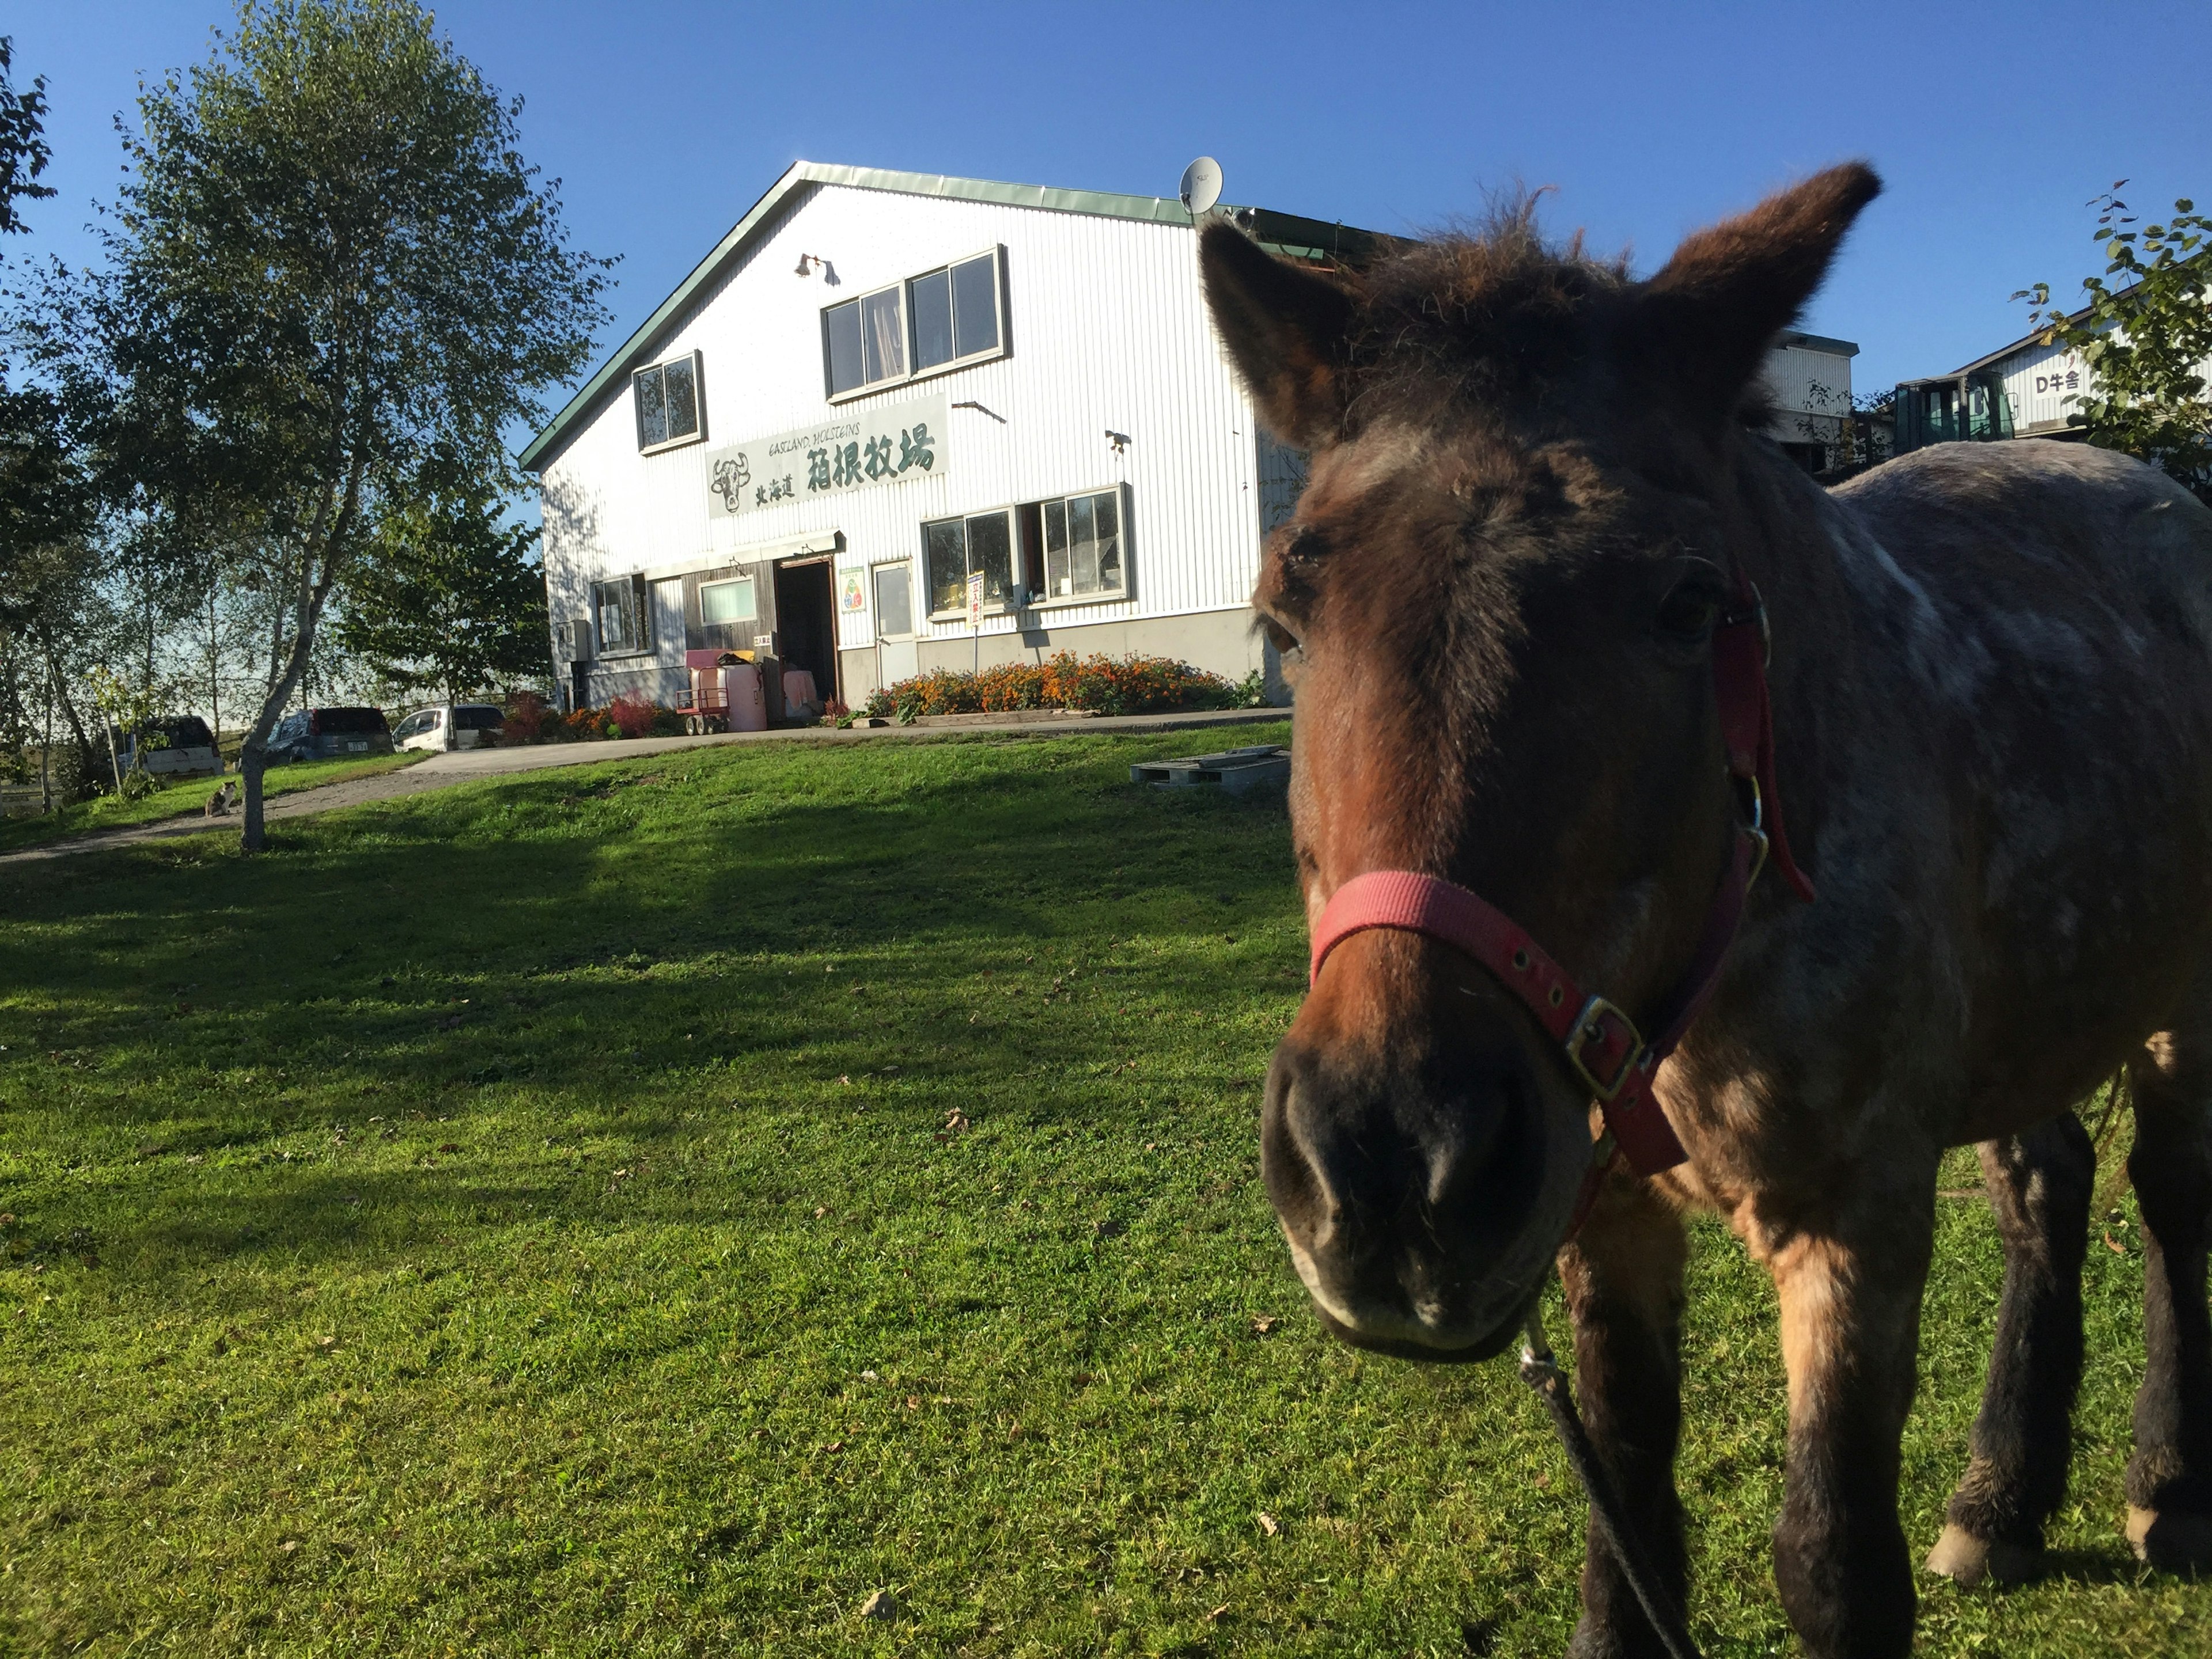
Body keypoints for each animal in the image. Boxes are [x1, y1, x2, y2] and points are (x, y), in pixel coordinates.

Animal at [1203, 172, 2212, 1659]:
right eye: (1285, 615)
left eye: (1687, 603)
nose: (1388, 1164)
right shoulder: (1600, 1213)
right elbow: (1626, 1544)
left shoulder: (1854, 1219)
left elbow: (1831, 1565)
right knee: (2046, 1189)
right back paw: (2002, 1496)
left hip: (2181, 1003)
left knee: (2170, 1200)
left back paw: (2168, 1484)